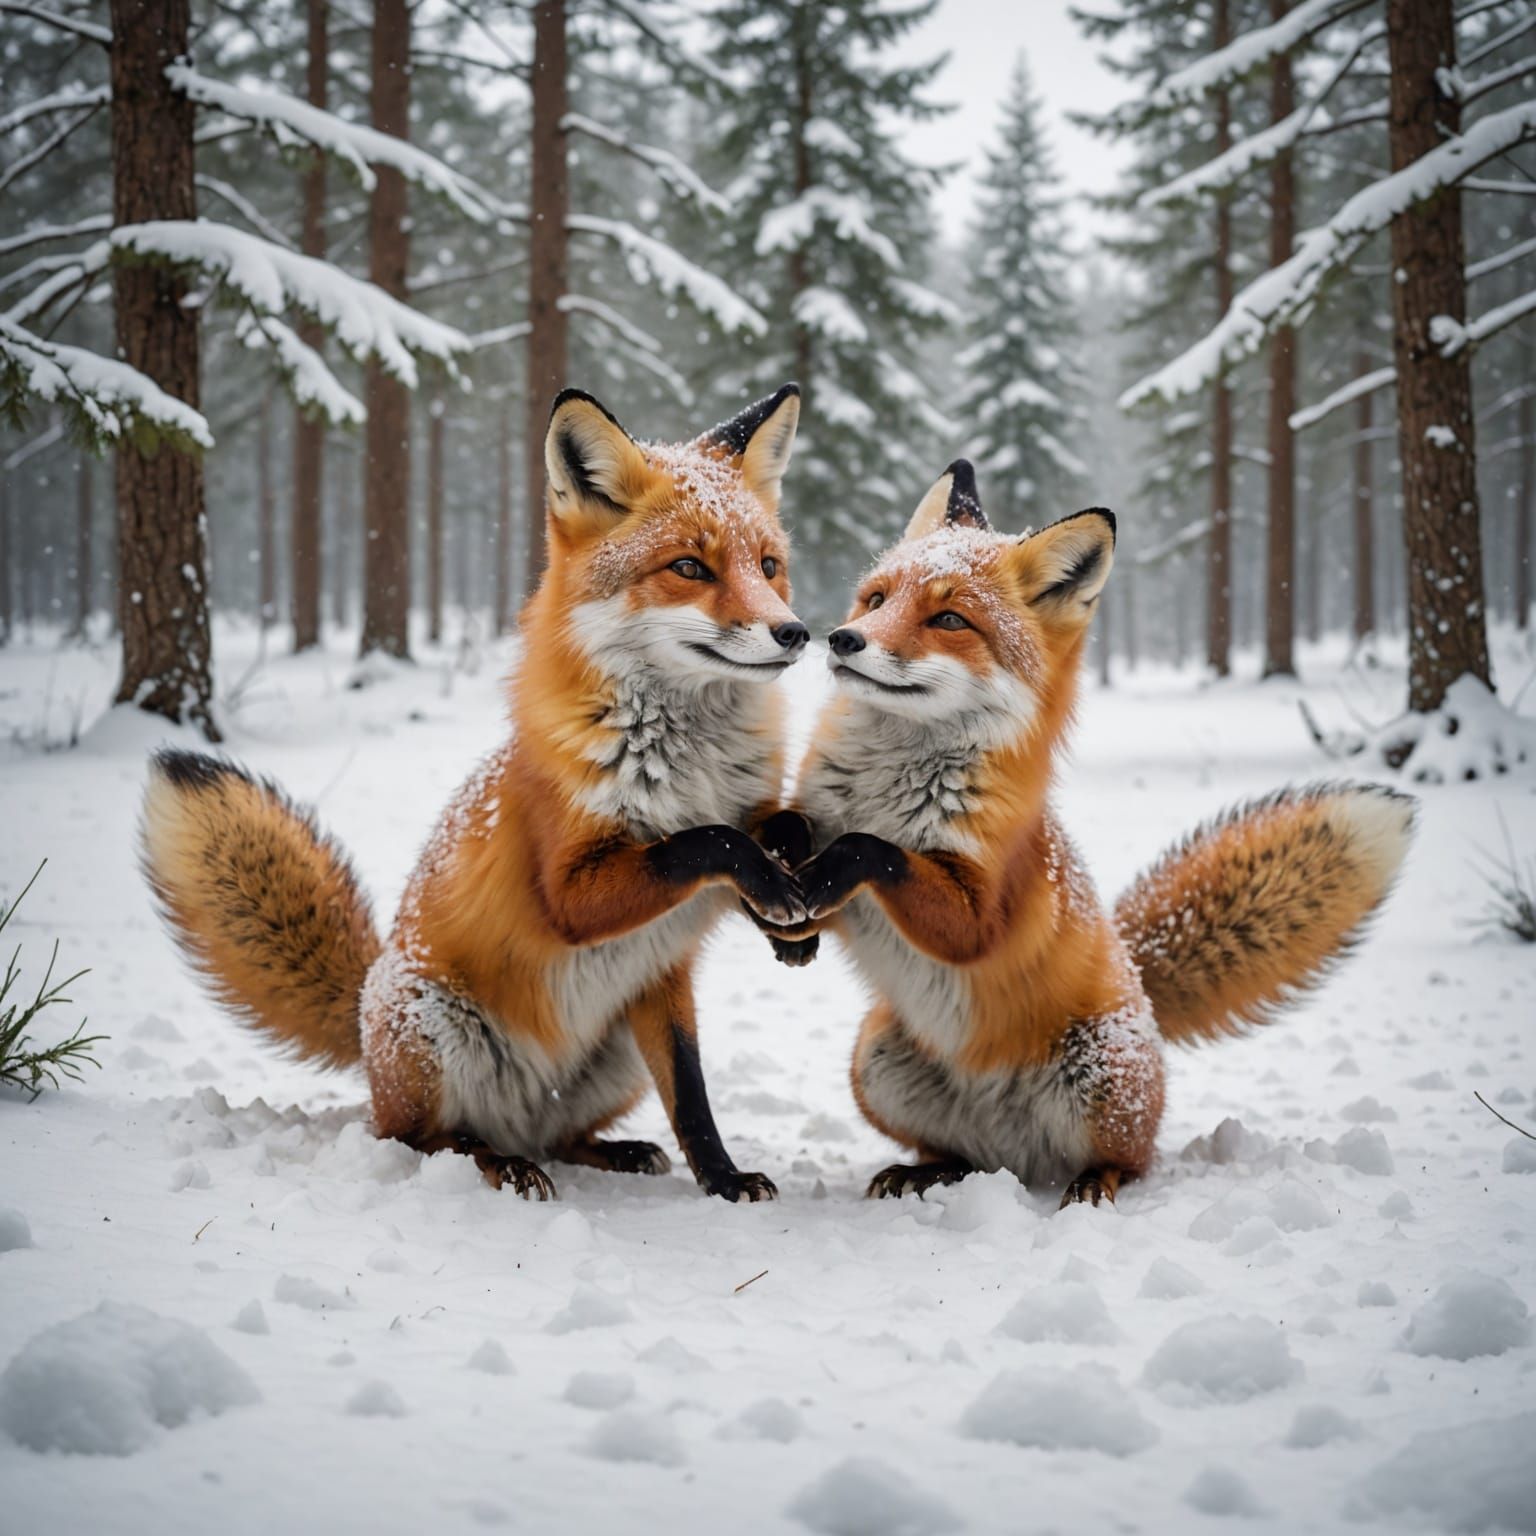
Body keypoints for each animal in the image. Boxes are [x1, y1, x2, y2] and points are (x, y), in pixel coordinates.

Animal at [141, 383, 817, 1203]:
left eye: (769, 565)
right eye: (690, 566)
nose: (795, 632)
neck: (693, 766)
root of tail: (364, 1007)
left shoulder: (677, 950)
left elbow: (694, 1093)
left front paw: (723, 1176)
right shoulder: (570, 895)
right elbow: (708, 840)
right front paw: (772, 890)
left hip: (630, 1038)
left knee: (574, 1132)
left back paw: (610, 1151)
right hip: (433, 1029)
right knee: (423, 1140)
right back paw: (498, 1164)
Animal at [771, 459, 1415, 1208]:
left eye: (949, 619)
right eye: (875, 600)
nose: (843, 640)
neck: (885, 788)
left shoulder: (980, 913)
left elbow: (874, 851)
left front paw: (824, 875)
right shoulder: (827, 831)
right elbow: (796, 828)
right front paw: (789, 915)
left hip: (1099, 1072)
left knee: (1133, 1159)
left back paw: (1092, 1184)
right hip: (875, 1061)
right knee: (957, 1154)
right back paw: (927, 1169)